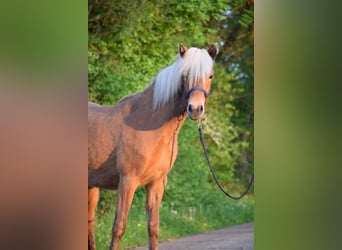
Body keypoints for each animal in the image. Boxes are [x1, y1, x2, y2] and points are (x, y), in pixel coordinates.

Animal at [88, 44, 216, 249]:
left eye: (210, 75)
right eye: (185, 75)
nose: (195, 109)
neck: (150, 124)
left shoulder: (156, 183)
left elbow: (153, 228)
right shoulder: (127, 181)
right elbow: (119, 226)